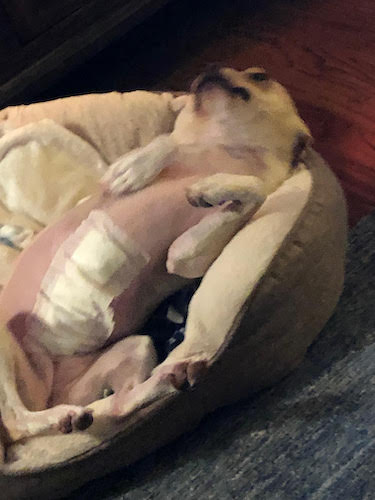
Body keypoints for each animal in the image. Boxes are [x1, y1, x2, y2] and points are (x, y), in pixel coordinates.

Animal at [0, 66, 312, 450]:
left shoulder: (184, 259)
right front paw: (136, 167)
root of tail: (48, 391)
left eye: (259, 75)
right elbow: (166, 142)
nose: (211, 67)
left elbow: (251, 189)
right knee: (17, 419)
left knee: (111, 406)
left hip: (136, 347)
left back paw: (165, 378)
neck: (224, 147)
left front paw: (209, 189)